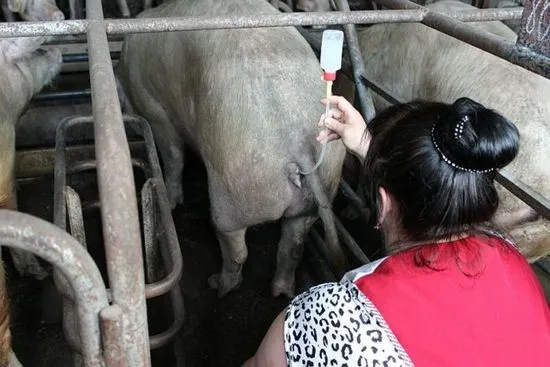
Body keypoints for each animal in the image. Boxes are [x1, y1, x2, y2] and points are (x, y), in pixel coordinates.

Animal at [118, 0, 348, 298]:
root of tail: (299, 141)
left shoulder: (156, 111)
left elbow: (173, 156)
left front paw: (171, 202)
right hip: (317, 192)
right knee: (293, 245)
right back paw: (280, 292)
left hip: (234, 187)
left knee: (235, 245)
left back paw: (217, 285)